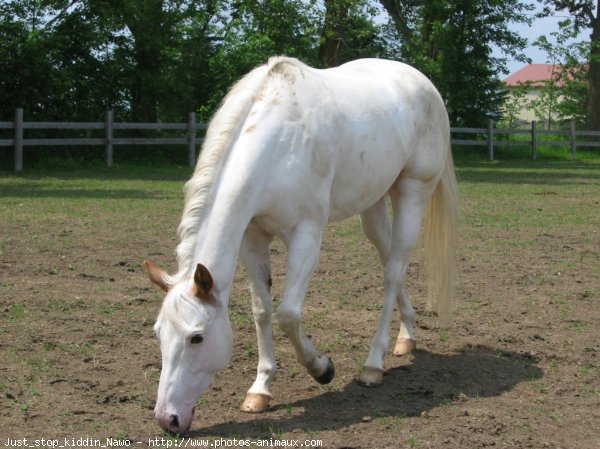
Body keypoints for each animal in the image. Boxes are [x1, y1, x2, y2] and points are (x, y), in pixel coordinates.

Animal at [143, 56, 458, 430]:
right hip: (373, 205)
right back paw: (406, 338)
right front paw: (260, 390)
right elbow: (262, 311)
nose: (168, 419)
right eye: (158, 333)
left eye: (197, 337)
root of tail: (424, 83)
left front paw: (322, 369)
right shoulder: (252, 238)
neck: (278, 144)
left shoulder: (306, 235)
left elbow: (288, 315)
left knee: (393, 272)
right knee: (390, 264)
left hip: (412, 194)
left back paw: (373, 365)